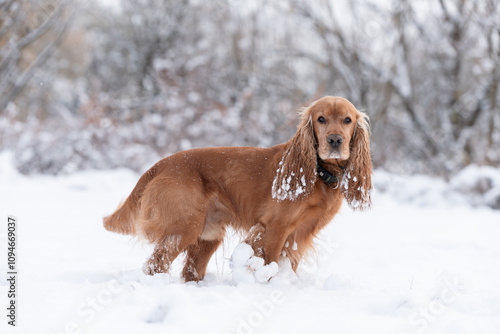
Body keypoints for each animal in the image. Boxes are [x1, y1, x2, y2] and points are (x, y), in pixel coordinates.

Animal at [103, 96, 374, 282]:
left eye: (347, 120)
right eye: (321, 119)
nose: (335, 140)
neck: (318, 171)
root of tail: (161, 165)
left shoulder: (299, 235)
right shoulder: (274, 228)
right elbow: (268, 263)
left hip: (208, 234)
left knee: (190, 271)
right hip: (182, 228)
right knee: (154, 266)